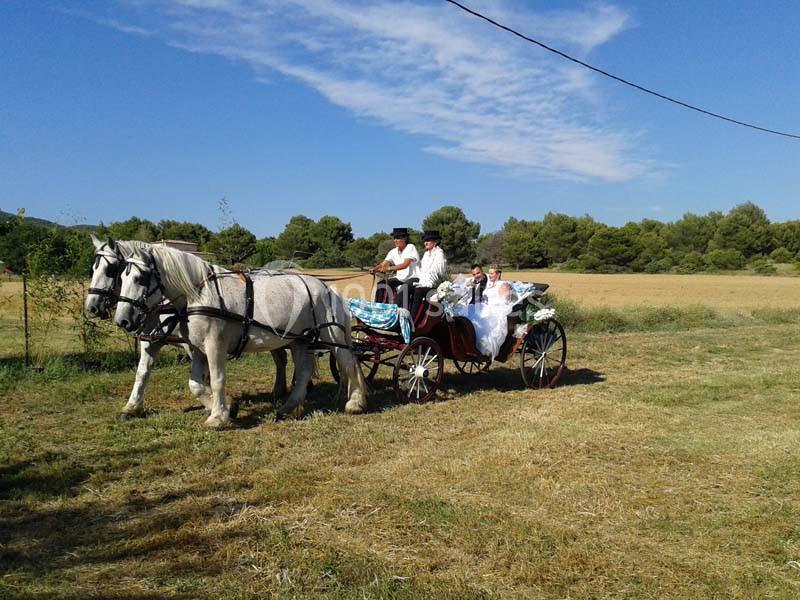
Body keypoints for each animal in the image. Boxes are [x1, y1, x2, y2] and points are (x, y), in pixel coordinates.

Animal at [85, 236, 289, 420]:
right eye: (93, 269)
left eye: (111, 270)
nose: (91, 307)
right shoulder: (151, 339)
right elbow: (142, 372)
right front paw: (131, 407)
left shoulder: (192, 343)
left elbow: (203, 378)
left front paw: (220, 405)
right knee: (281, 358)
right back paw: (280, 391)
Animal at [112, 244, 368, 428]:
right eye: (120, 278)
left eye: (140, 278)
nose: (122, 320)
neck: (199, 294)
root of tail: (328, 289)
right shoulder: (196, 348)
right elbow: (195, 384)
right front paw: (228, 408)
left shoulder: (214, 345)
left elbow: (217, 379)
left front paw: (218, 417)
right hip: (299, 340)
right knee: (304, 372)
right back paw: (288, 407)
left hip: (332, 335)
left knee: (348, 362)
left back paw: (354, 403)